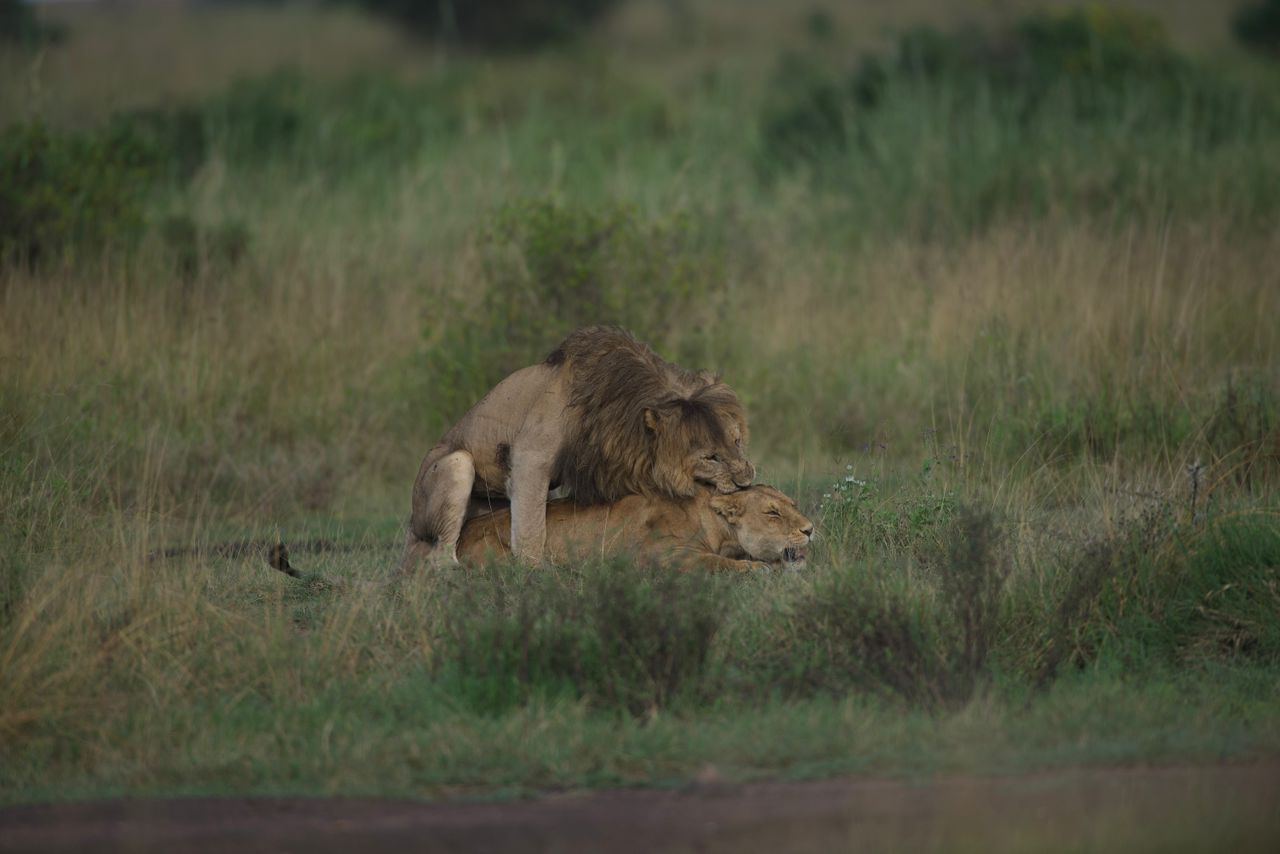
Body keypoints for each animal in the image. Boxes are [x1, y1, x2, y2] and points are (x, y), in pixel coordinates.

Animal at [403, 326, 755, 569]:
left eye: (737, 441)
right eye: (710, 457)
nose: (747, 480)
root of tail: (410, 525)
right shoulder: (530, 459)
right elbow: (531, 530)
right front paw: (536, 575)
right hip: (456, 464)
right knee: (439, 557)